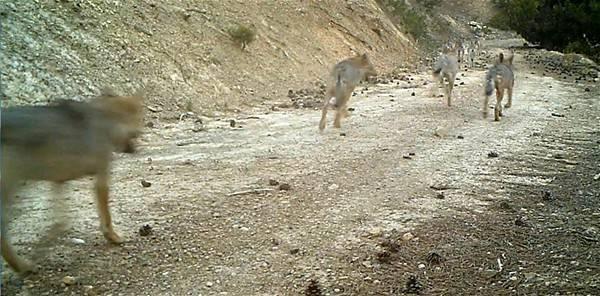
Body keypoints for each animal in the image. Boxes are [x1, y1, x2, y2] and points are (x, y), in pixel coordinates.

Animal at [1, 88, 145, 276]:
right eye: (138, 120)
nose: (141, 133)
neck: (106, 119)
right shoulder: (101, 177)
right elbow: (105, 215)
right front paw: (113, 237)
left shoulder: (59, 181)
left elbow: (61, 221)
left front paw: (47, 240)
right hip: (12, 187)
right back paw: (23, 266)